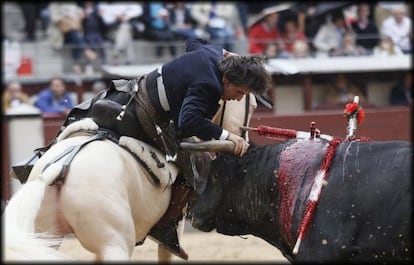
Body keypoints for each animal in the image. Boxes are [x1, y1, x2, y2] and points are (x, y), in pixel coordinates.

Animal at [4, 92, 258, 260]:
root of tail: (58, 169)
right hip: (114, 243)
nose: (243, 139)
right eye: (253, 104)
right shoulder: (174, 230)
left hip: (45, 236)